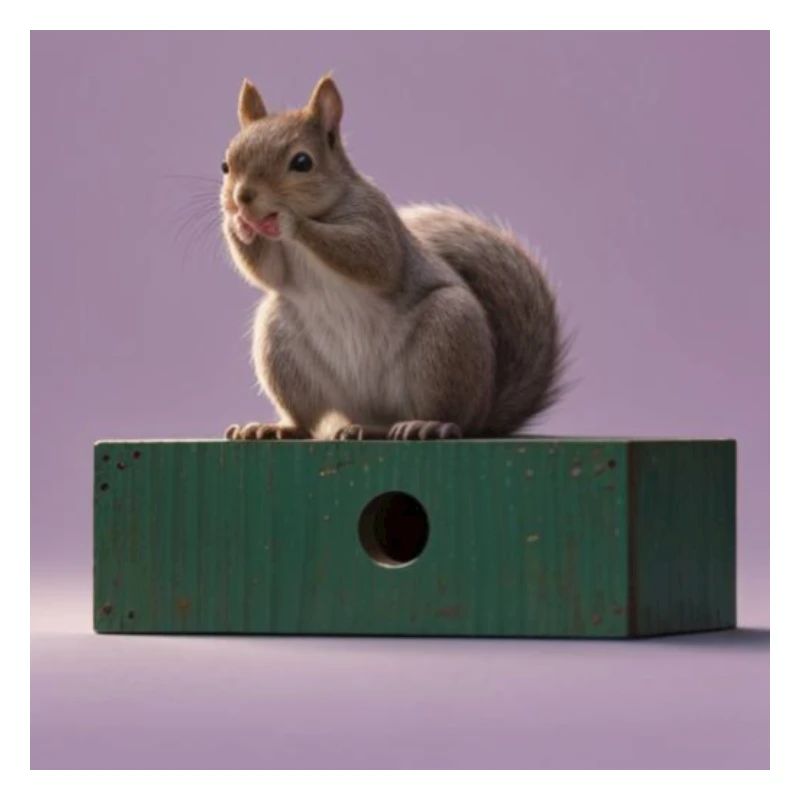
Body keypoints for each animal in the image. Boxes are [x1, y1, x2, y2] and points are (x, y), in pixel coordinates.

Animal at [221, 75, 565, 441]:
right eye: (226, 165)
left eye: (302, 163)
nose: (242, 198)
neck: (325, 209)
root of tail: (484, 412)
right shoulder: (280, 264)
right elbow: (267, 272)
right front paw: (237, 225)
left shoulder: (376, 221)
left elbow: (371, 258)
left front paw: (289, 220)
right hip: (281, 344)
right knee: (309, 420)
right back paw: (283, 428)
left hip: (446, 338)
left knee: (448, 414)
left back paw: (425, 423)